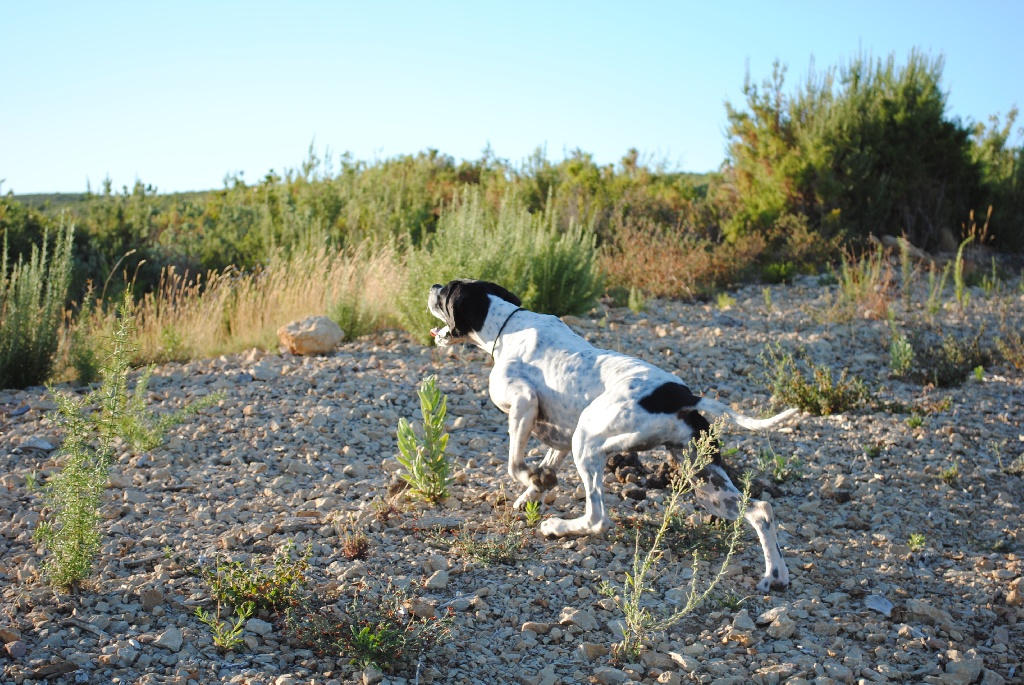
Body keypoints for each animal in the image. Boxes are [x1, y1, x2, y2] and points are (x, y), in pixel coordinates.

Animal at [428, 280, 794, 589]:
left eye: (446, 293)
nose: (432, 286)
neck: (507, 325)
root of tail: (682, 396)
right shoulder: (560, 436)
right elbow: (542, 470)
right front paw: (534, 490)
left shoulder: (524, 403)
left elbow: (515, 464)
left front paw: (531, 481)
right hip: (705, 482)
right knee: (760, 510)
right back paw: (775, 576)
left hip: (588, 442)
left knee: (597, 519)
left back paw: (557, 528)